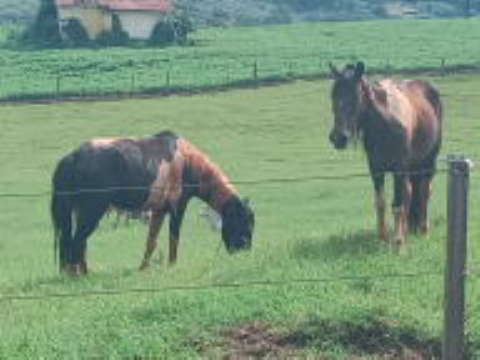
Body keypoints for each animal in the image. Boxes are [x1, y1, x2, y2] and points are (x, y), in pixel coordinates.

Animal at [51, 131, 255, 274]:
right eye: (244, 222)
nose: (245, 253)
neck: (189, 161)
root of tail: (73, 157)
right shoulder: (177, 207)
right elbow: (174, 238)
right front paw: (172, 265)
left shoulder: (158, 211)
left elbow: (151, 241)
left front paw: (143, 268)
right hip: (93, 211)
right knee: (77, 241)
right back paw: (78, 274)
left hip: (80, 212)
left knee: (76, 241)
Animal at [328, 62, 444, 245]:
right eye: (333, 96)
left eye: (354, 97)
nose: (338, 137)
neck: (384, 124)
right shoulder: (376, 169)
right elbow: (380, 202)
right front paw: (383, 236)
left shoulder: (399, 168)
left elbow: (397, 204)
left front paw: (397, 240)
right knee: (410, 191)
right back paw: (406, 229)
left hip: (429, 161)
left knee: (424, 190)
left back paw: (423, 229)